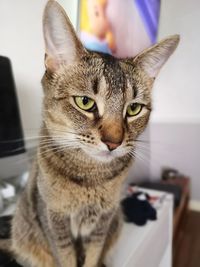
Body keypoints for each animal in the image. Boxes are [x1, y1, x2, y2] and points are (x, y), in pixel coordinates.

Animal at [9, 0, 179, 267]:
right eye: (85, 102)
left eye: (133, 108)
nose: (113, 142)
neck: (90, 177)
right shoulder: (54, 220)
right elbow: (65, 258)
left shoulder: (103, 221)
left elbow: (92, 256)